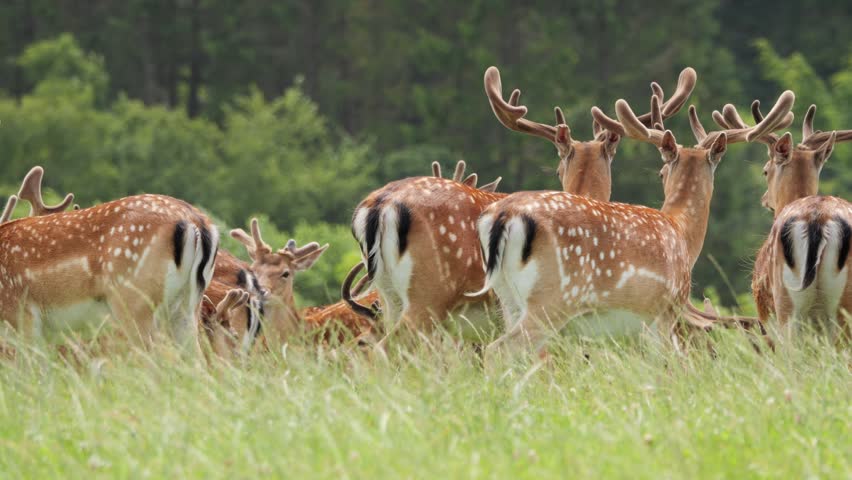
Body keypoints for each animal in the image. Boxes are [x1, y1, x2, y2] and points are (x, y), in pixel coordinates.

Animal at [473, 86, 795, 357]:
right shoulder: (664, 311)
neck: (681, 232)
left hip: (509, 298)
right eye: (661, 173)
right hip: (552, 298)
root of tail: (503, 216)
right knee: (498, 350)